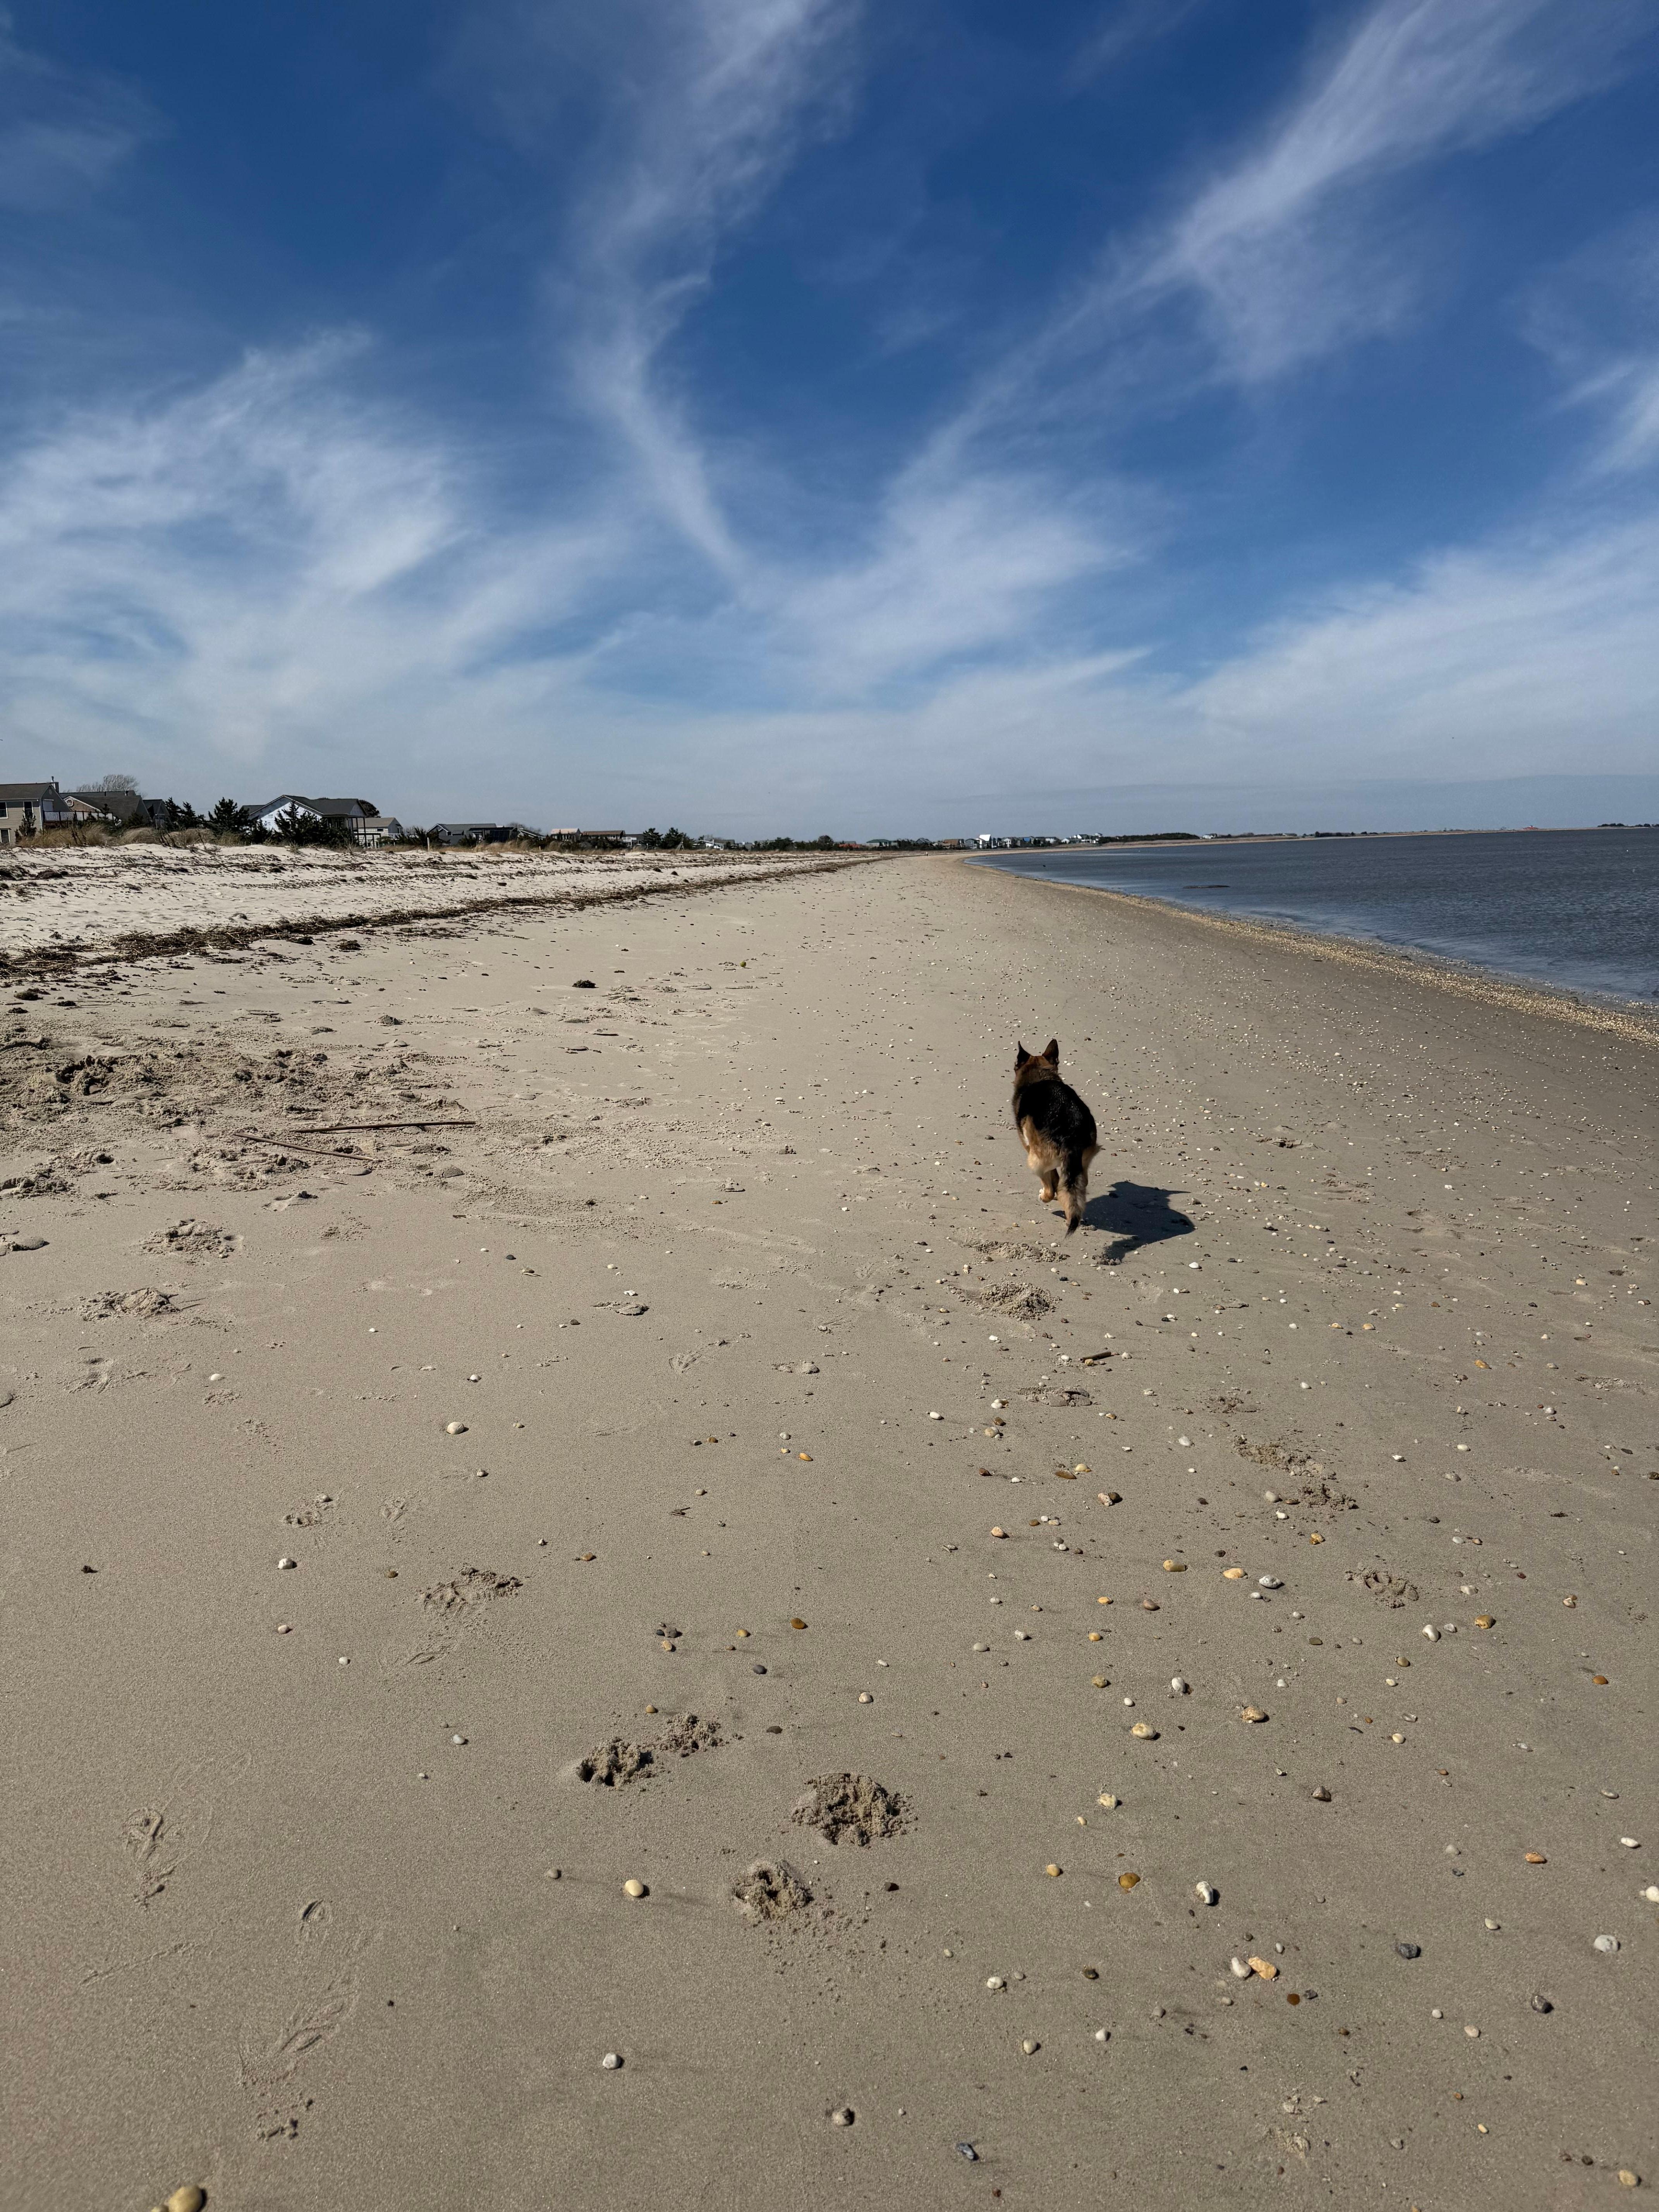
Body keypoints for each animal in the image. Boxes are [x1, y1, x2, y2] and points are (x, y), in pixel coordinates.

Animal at [1012, 1039, 1099, 1234]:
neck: (1041, 1076)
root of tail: (1071, 1132)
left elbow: (1054, 1180)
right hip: (1083, 1159)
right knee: (1077, 1184)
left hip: (1036, 1161)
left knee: (1051, 1188)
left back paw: (1045, 1196)